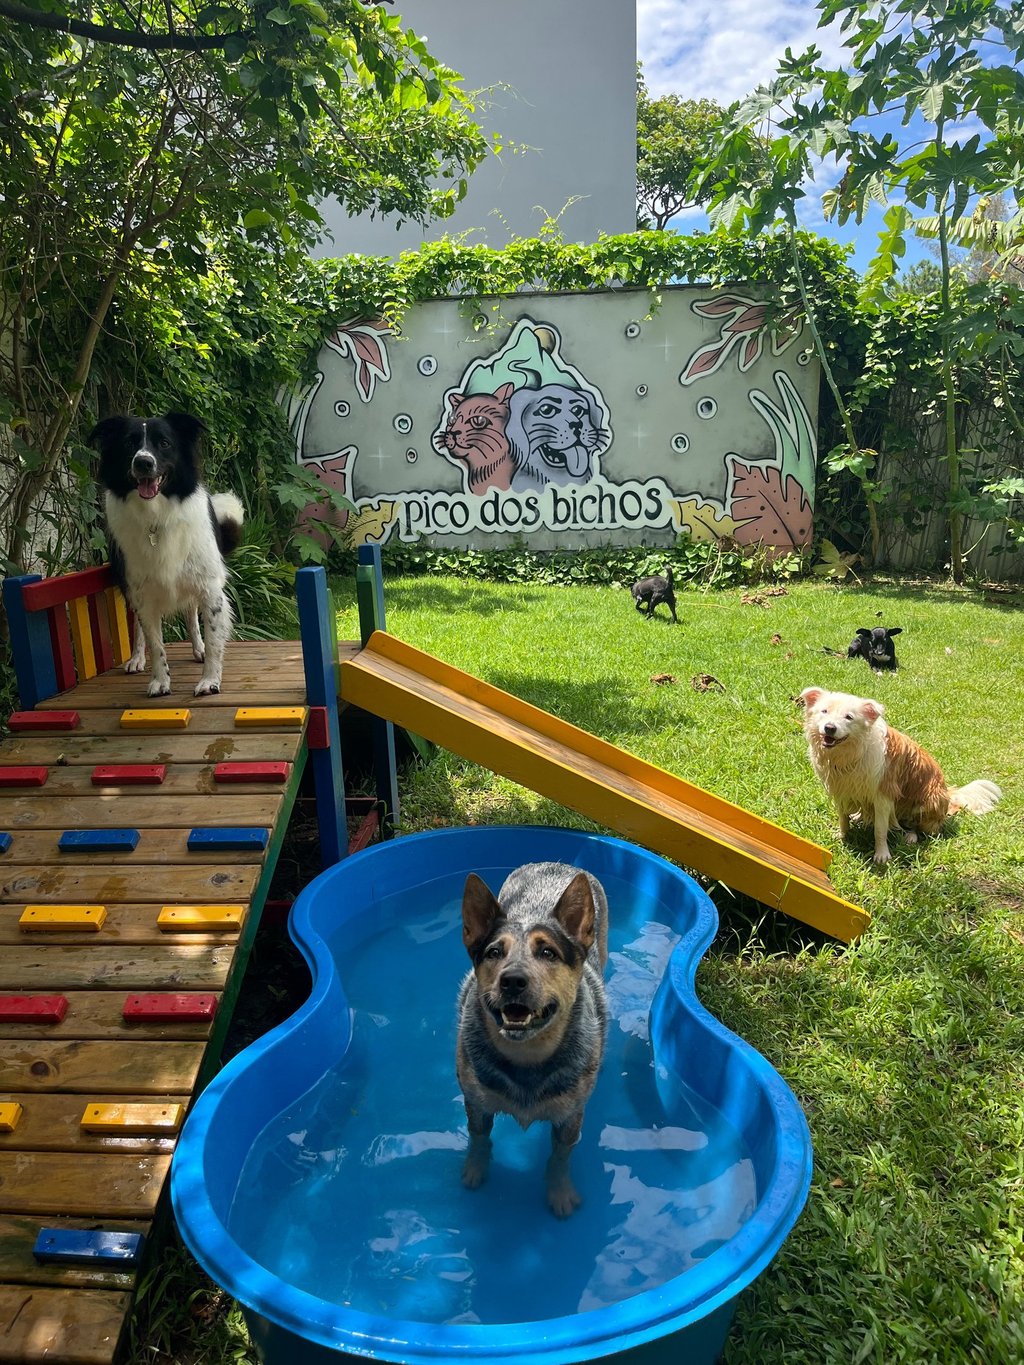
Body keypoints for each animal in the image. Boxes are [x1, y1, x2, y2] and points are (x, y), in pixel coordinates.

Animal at [90, 412, 243, 698]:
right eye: (129, 443)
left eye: (164, 443)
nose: (143, 462)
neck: (156, 516)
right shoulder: (141, 591)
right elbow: (155, 643)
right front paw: (160, 681)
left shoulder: (209, 586)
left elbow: (213, 637)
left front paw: (210, 680)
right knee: (139, 627)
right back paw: (137, 658)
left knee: (191, 614)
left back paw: (198, 649)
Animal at [456, 862, 609, 1217]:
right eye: (494, 952)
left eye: (548, 952)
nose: (512, 980)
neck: (527, 1056)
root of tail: (559, 863)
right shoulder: (475, 1100)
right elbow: (479, 1138)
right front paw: (475, 1169)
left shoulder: (570, 1116)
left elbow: (560, 1156)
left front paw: (560, 1192)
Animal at [800, 687, 1001, 864]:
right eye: (824, 711)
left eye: (849, 717)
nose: (829, 728)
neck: (850, 754)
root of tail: (948, 794)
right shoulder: (840, 789)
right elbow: (843, 818)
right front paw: (842, 835)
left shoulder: (884, 795)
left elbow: (880, 829)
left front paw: (882, 855)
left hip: (926, 802)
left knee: (919, 828)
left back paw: (910, 836)